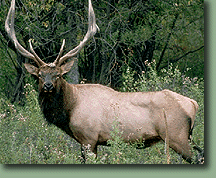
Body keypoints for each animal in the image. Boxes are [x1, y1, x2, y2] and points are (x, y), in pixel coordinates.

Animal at [5, 0, 204, 164]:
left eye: (58, 75)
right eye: (40, 74)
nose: (48, 86)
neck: (70, 109)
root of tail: (193, 103)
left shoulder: (89, 138)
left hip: (177, 136)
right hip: (186, 136)